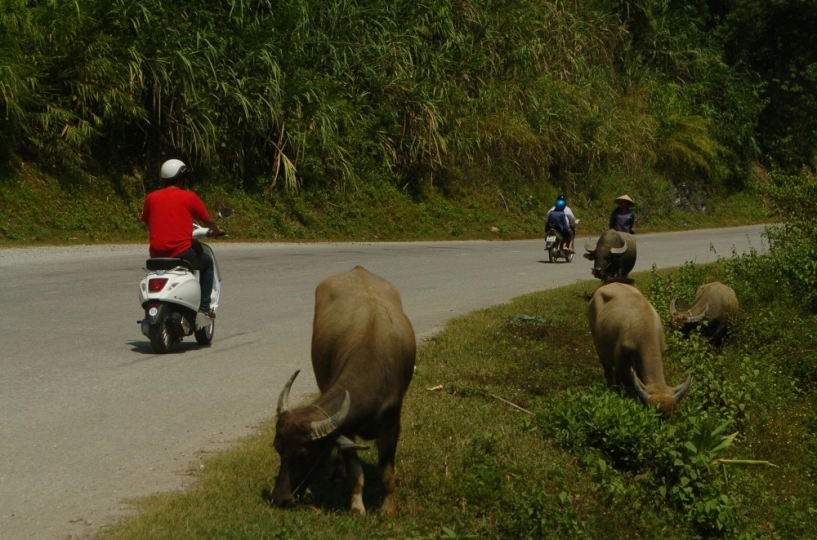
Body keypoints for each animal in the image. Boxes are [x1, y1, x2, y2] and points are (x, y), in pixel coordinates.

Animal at [272, 266, 418, 516]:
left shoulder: (392, 425)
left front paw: (388, 509)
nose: (280, 498)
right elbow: (355, 473)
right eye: (278, 448)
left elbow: (387, 473)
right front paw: (357, 508)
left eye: (304, 454)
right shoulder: (347, 429)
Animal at [588, 282, 688, 418]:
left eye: (669, 416)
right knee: (608, 370)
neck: (645, 328)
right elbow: (631, 388)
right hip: (599, 347)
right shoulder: (623, 363)